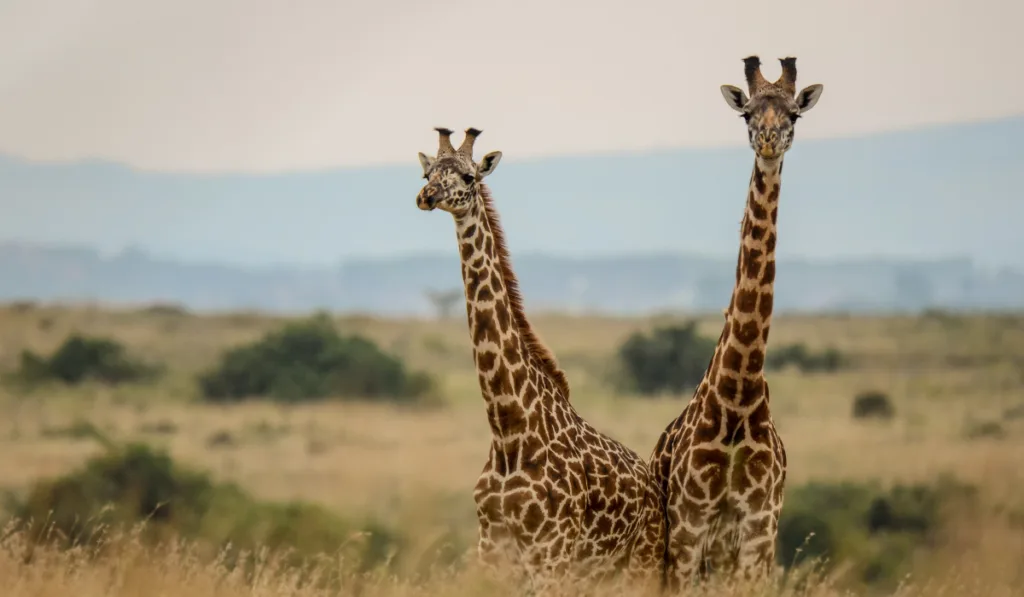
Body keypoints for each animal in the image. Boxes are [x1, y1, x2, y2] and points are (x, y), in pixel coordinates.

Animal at [415, 128, 663, 593]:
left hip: (640, 564)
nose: (427, 195)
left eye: (469, 176)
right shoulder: (492, 552)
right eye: (427, 172)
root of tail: (654, 484)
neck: (508, 429)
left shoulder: (552, 555)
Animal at [651, 57, 827, 593]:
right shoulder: (689, 527)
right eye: (747, 112)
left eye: (794, 114)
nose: (768, 141)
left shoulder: (758, 529)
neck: (738, 394)